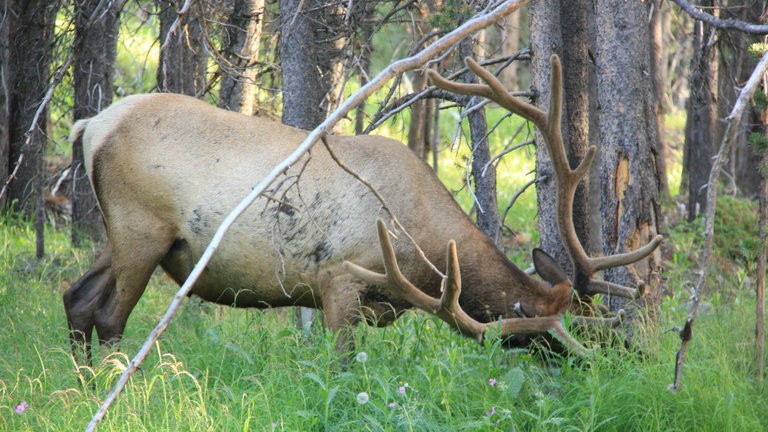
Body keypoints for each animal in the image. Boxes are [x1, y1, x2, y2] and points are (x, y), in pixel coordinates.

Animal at [64, 54, 662, 364]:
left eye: (602, 322)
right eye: (580, 338)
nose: (637, 361)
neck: (420, 248)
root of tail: (90, 126)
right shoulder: (338, 279)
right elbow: (341, 365)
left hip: (120, 233)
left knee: (76, 298)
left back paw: (81, 386)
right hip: (141, 229)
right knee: (109, 315)